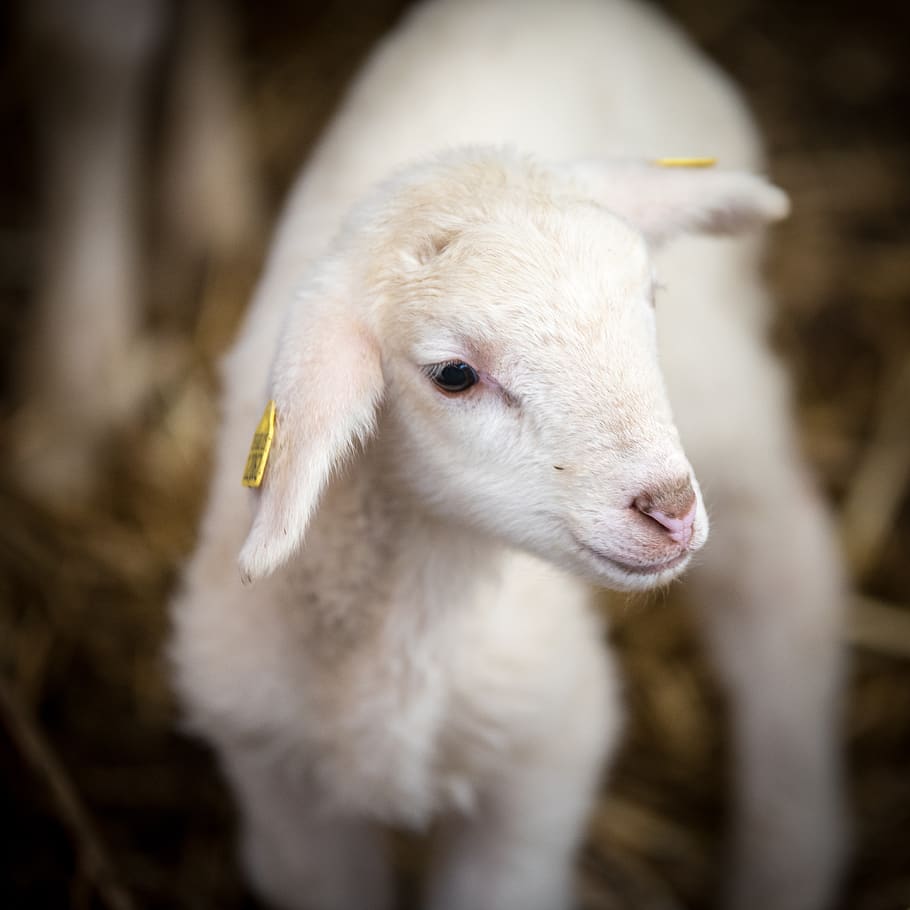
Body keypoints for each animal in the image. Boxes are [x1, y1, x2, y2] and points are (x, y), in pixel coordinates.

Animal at [170, 1, 848, 909]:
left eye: (651, 296)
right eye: (454, 375)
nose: (669, 511)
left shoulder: (546, 756)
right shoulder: (280, 792)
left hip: (723, 402)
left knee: (786, 579)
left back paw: (787, 859)